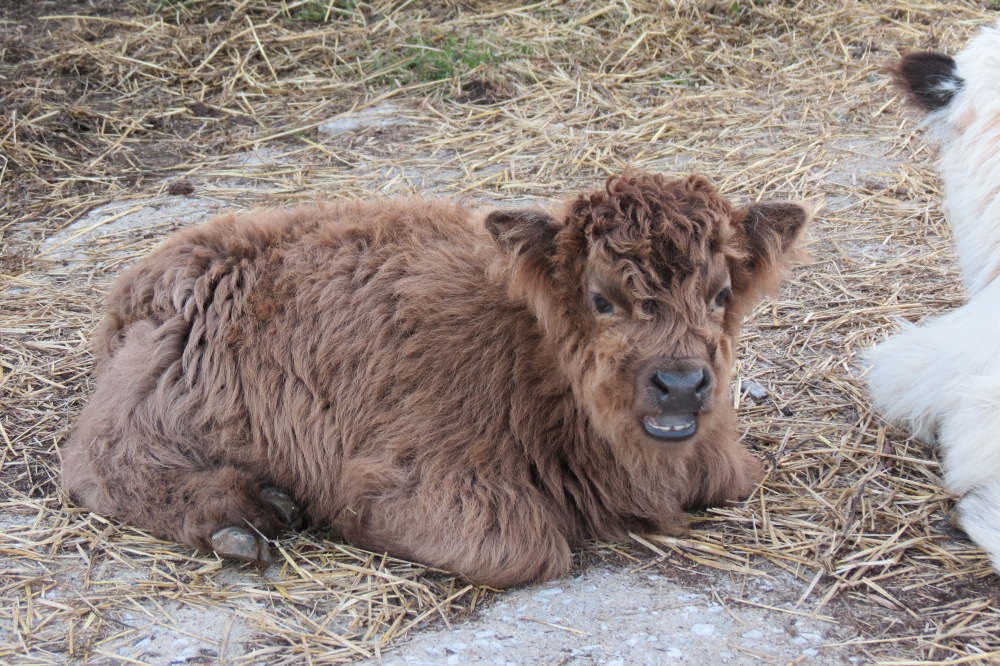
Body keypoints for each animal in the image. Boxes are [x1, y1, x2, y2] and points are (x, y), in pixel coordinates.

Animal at [62, 172, 808, 588]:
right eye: (601, 299)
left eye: (720, 294)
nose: (681, 384)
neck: (529, 349)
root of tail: (143, 277)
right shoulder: (415, 477)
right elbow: (520, 549)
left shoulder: (723, 461)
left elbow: (736, 477)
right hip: (154, 397)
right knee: (97, 462)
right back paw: (241, 519)